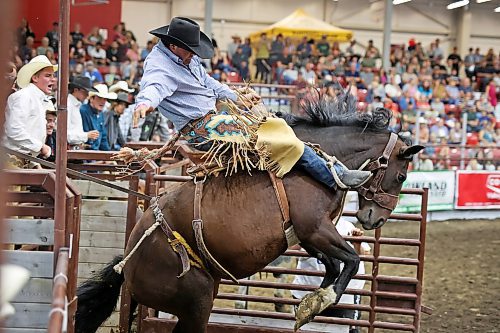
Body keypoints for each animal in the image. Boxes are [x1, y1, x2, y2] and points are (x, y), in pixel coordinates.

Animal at [76, 94, 424, 332]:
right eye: (401, 176)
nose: (375, 218)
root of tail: (126, 264)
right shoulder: (315, 228)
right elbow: (350, 260)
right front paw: (319, 302)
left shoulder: (306, 235)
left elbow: (331, 264)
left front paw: (309, 303)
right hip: (197, 298)